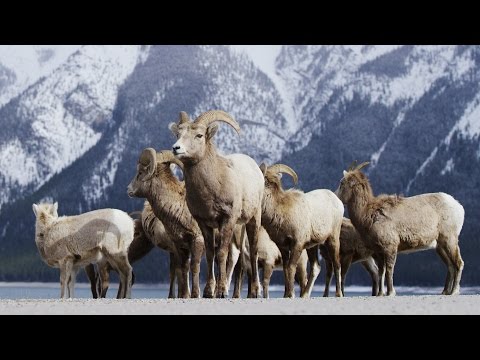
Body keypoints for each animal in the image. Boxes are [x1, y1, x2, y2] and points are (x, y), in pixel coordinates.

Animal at [126, 149, 203, 298]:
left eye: (140, 172)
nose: (128, 189)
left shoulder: (197, 240)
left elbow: (194, 267)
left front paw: (195, 295)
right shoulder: (179, 246)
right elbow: (182, 270)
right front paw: (184, 295)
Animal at [170, 109, 266, 298]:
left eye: (199, 135)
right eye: (178, 134)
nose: (176, 148)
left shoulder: (227, 219)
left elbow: (221, 253)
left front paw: (221, 291)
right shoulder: (205, 223)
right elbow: (210, 254)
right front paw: (209, 292)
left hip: (253, 218)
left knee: (253, 251)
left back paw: (255, 291)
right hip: (238, 226)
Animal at [258, 164, 344, 298]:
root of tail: (338, 201)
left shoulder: (297, 244)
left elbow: (291, 268)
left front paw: (290, 295)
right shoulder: (283, 247)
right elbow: (285, 269)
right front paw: (288, 295)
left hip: (332, 239)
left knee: (337, 264)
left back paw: (338, 294)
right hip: (312, 247)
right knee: (316, 268)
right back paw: (304, 295)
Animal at [336, 162, 464, 296]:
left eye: (342, 183)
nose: (336, 197)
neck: (368, 214)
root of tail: (459, 207)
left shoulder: (390, 247)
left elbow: (389, 270)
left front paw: (391, 293)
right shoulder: (378, 251)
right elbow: (381, 272)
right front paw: (380, 294)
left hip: (450, 240)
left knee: (459, 263)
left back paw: (454, 291)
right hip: (440, 246)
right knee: (450, 265)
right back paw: (445, 292)